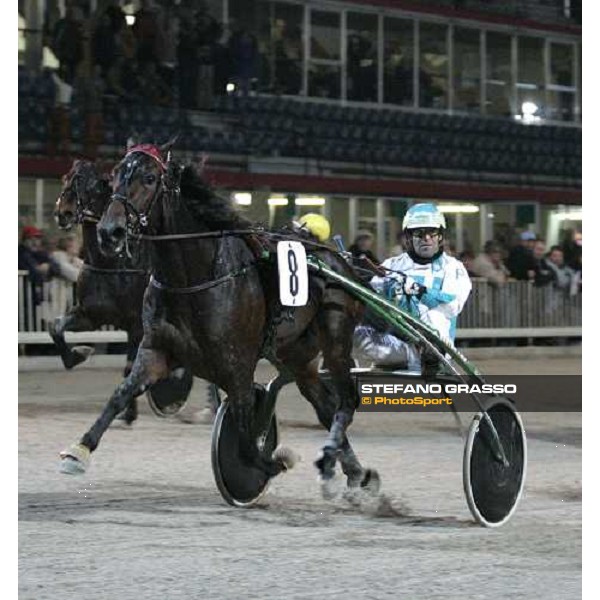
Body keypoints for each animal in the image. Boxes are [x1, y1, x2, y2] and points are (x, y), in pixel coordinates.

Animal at [51, 157, 152, 424]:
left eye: (93, 184)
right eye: (66, 177)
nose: (63, 213)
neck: (111, 263)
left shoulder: (136, 325)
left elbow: (130, 367)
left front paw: (129, 412)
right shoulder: (90, 315)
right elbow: (55, 327)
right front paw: (79, 354)